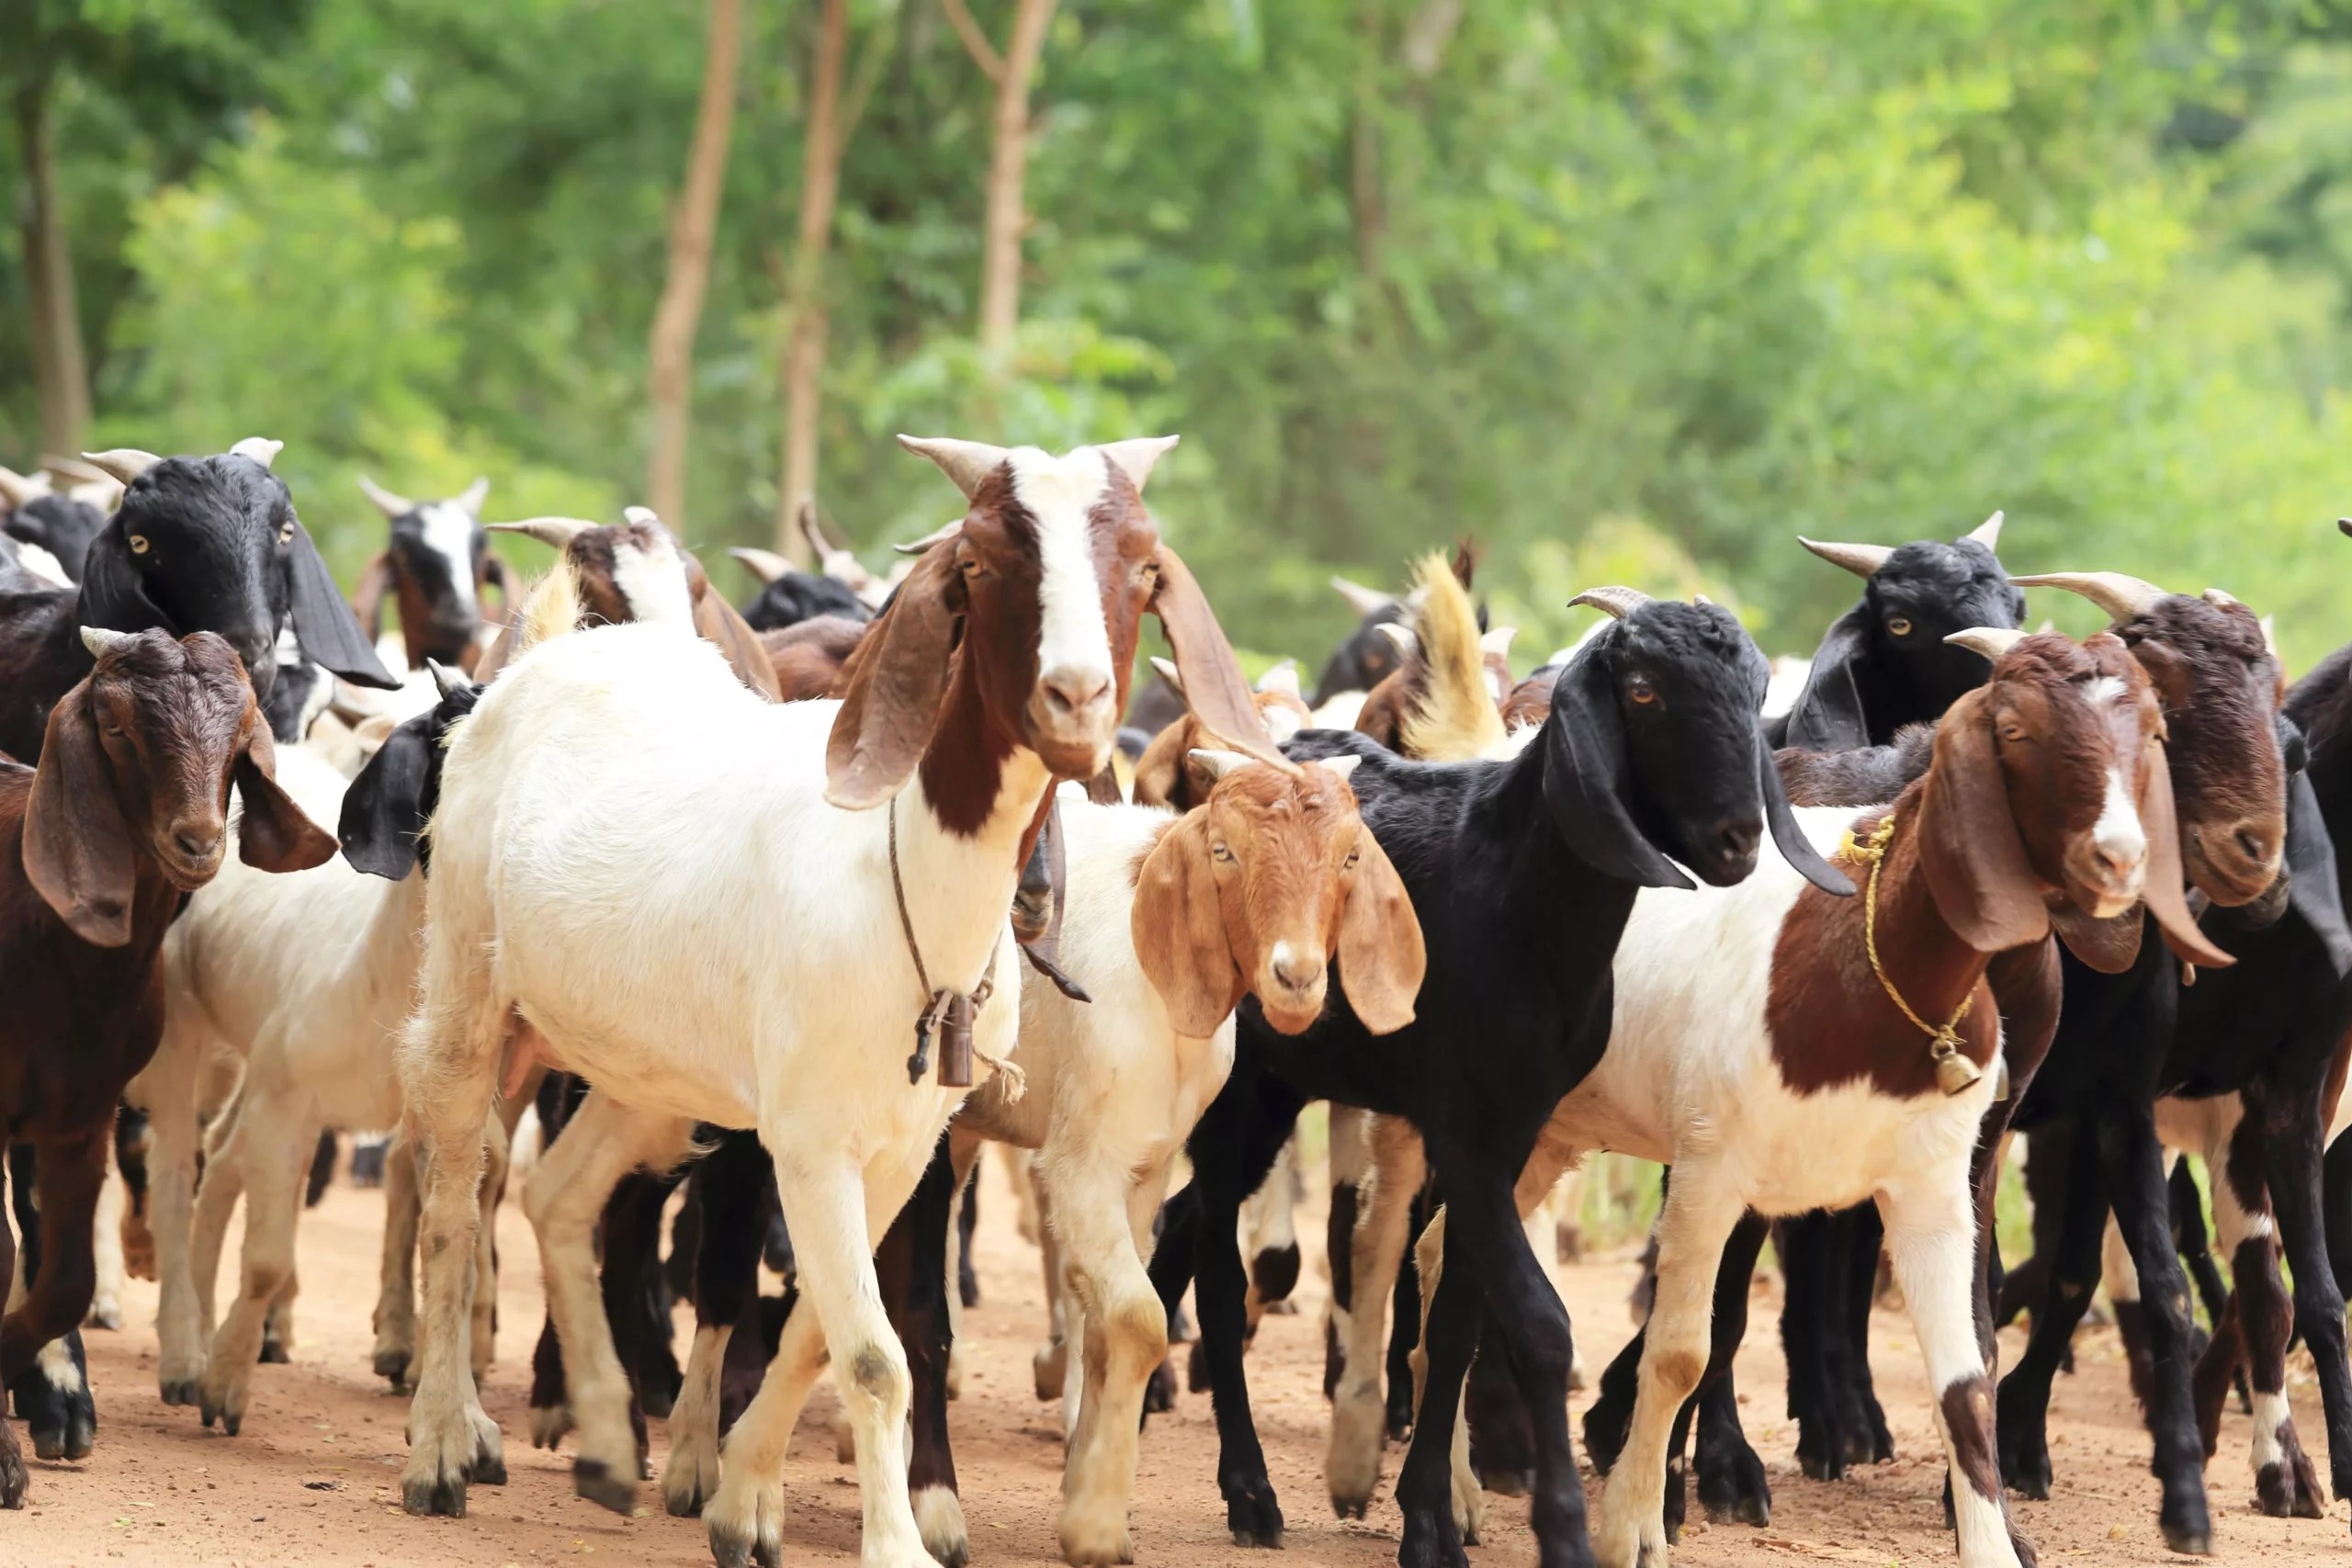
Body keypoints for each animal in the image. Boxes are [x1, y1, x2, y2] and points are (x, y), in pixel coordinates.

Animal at [393, 437, 1282, 1568]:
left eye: (1140, 566)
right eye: (982, 560)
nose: (1076, 699)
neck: (901, 876)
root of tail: (546, 661)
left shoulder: (904, 1144)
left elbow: (825, 1328)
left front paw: (742, 1501)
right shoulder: (812, 1141)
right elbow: (871, 1353)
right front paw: (893, 1542)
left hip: (650, 1070)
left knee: (559, 1197)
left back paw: (602, 1438)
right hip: (471, 992)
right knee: (454, 1209)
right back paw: (442, 1446)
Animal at [1150, 586, 1849, 1563]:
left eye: (1754, 690)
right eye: (1641, 689)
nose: (1738, 838)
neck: (1516, 895)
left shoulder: (1517, 1126)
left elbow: (1456, 1315)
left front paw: (1428, 1517)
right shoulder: (1465, 1129)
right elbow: (1539, 1323)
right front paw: (1558, 1525)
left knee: (1190, 1226)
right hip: (1243, 1087)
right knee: (1218, 1265)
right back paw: (1249, 1491)